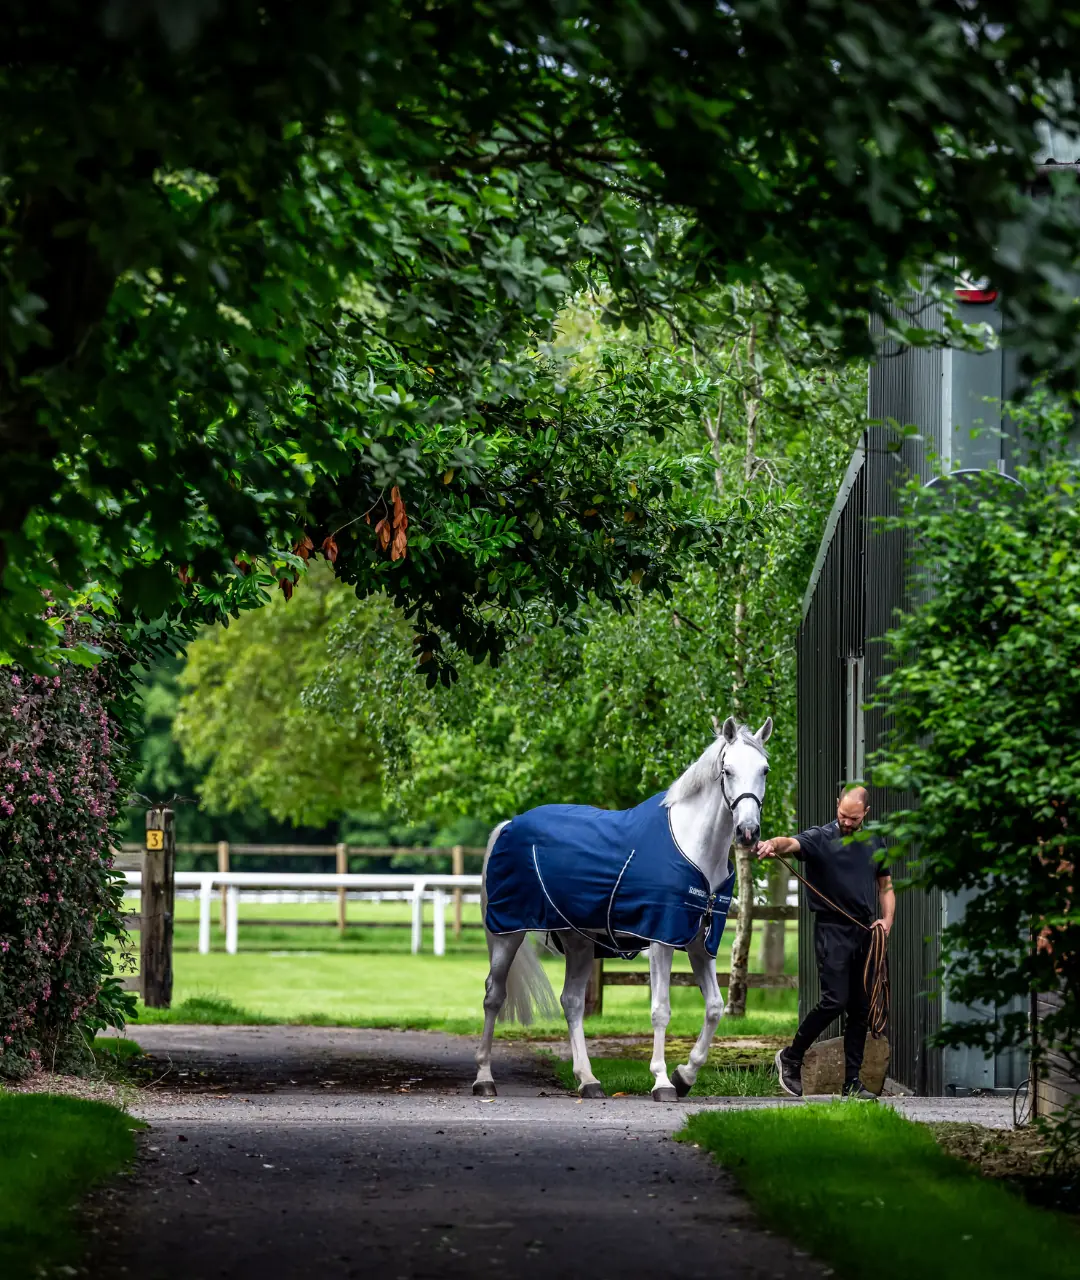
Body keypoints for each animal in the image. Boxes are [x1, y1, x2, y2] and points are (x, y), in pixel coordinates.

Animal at [472, 715, 772, 1100]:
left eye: (764, 770)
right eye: (728, 770)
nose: (748, 832)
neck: (694, 846)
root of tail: (509, 824)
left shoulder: (698, 943)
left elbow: (715, 1008)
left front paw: (685, 1075)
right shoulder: (661, 939)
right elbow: (661, 1010)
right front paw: (662, 1081)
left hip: (577, 940)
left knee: (571, 1002)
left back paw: (588, 1080)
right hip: (509, 931)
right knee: (493, 995)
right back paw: (484, 1078)